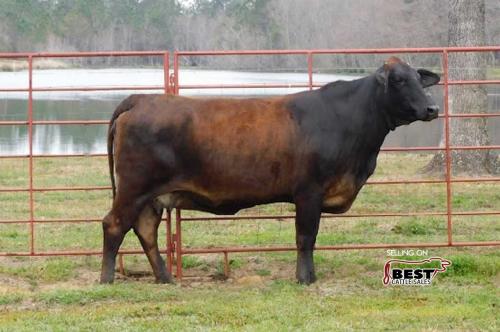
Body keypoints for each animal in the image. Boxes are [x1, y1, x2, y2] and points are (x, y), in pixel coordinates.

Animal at [99, 55, 440, 284]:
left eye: (419, 78)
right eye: (399, 80)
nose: (433, 108)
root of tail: (142, 98)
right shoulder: (309, 191)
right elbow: (306, 236)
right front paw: (306, 278)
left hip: (150, 197)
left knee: (145, 230)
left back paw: (165, 278)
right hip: (134, 188)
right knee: (114, 225)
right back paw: (107, 279)